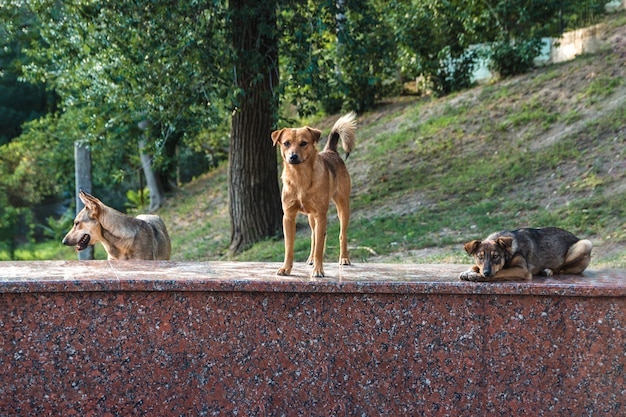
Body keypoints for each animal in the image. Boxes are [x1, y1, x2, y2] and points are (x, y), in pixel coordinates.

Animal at [270, 112, 354, 278]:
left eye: (304, 143)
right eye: (286, 143)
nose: (293, 156)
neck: (300, 177)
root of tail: (331, 151)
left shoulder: (321, 215)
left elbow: (320, 247)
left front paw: (318, 270)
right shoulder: (288, 216)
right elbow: (289, 247)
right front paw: (286, 268)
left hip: (343, 206)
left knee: (342, 234)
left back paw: (344, 258)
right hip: (311, 217)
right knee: (314, 236)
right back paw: (310, 259)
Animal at [458, 226, 588, 282]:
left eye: (496, 256)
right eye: (480, 257)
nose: (486, 273)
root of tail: (575, 236)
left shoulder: (522, 270)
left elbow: (500, 272)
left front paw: (477, 276)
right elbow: (475, 266)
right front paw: (467, 272)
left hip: (585, 244)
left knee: (562, 269)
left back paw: (548, 270)